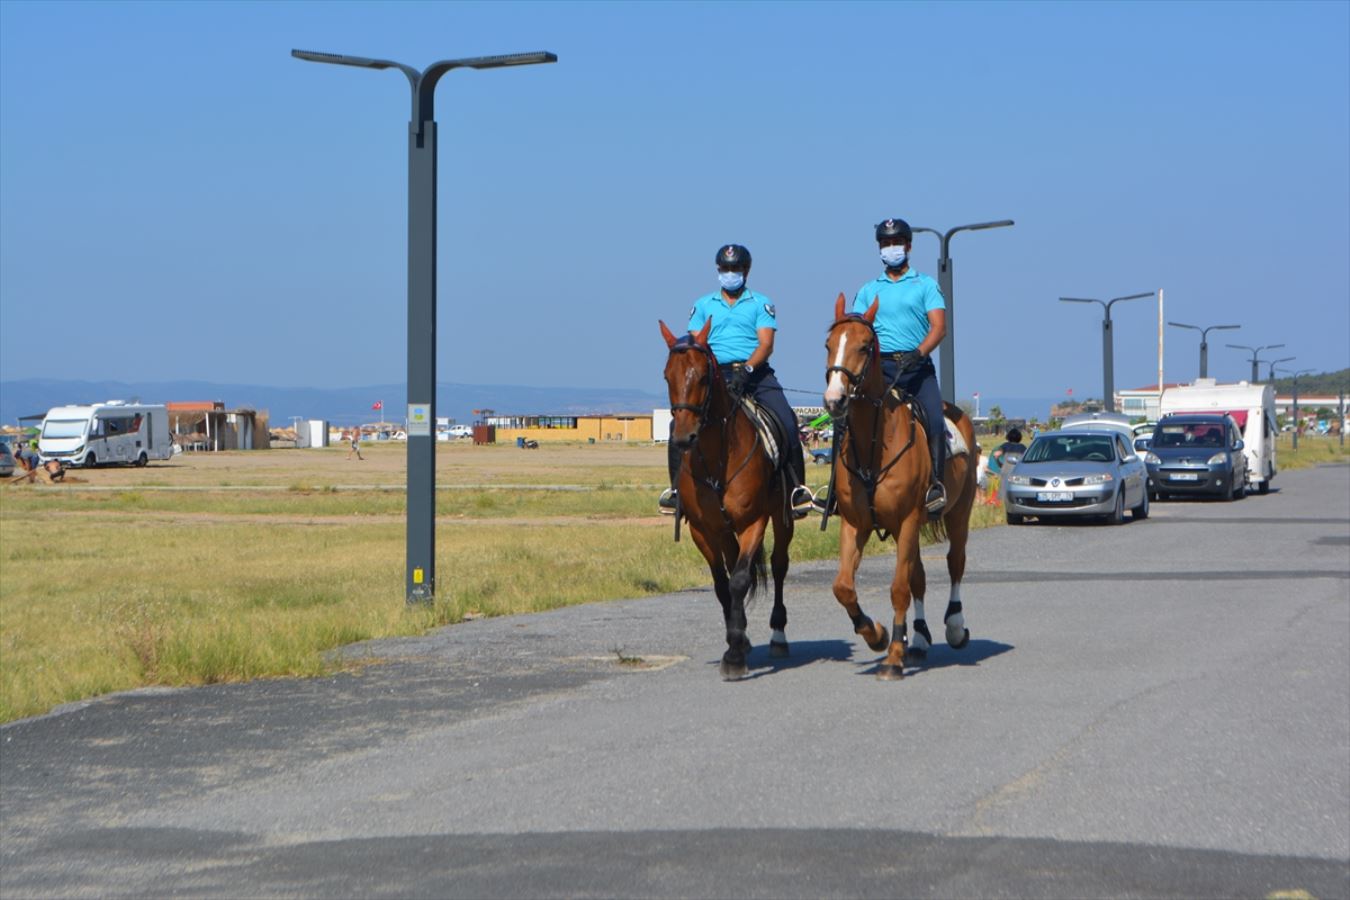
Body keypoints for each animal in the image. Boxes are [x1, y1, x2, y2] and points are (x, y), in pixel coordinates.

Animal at [661, 319, 793, 680]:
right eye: (667, 376)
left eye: (704, 377)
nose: (684, 437)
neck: (717, 459)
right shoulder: (703, 530)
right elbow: (723, 584)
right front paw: (738, 640)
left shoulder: (753, 522)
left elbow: (739, 580)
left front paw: (734, 655)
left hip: (783, 517)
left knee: (779, 564)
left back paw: (778, 635)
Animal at [815, 295, 977, 682]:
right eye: (828, 345)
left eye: (864, 346)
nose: (834, 399)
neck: (875, 444)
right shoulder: (855, 524)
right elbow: (843, 586)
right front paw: (877, 634)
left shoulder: (906, 521)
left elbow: (899, 588)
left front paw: (892, 658)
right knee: (918, 576)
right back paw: (916, 639)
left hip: (958, 514)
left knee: (955, 563)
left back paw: (954, 628)